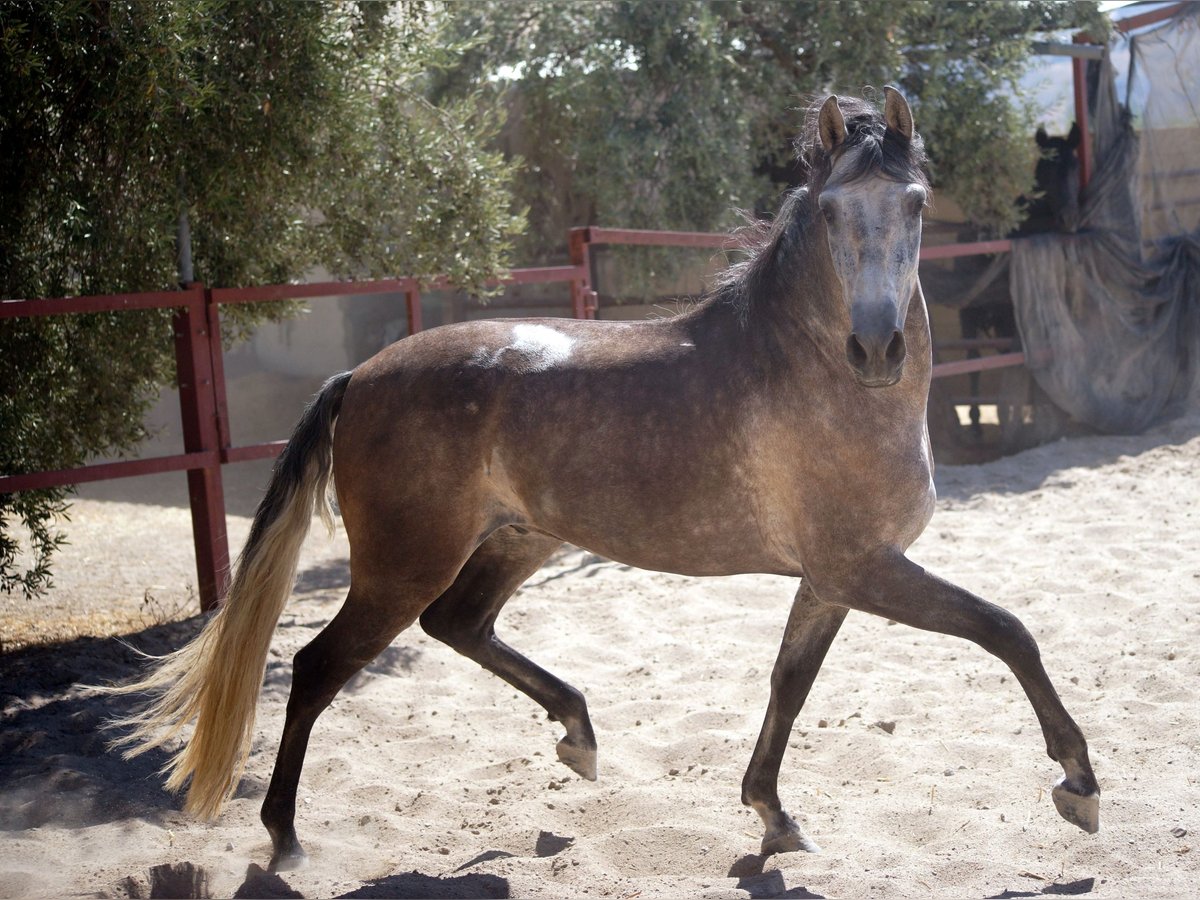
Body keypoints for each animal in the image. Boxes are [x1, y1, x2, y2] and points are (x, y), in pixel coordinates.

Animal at [108, 88, 1099, 868]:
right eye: (830, 214)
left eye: (917, 204)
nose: (879, 349)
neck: (815, 376)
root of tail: (360, 376)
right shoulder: (866, 567)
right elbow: (1008, 632)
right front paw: (1079, 784)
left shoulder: (830, 580)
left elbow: (788, 686)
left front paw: (774, 819)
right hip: (401, 563)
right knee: (319, 668)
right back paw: (285, 839)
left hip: (520, 539)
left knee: (458, 625)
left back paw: (578, 737)